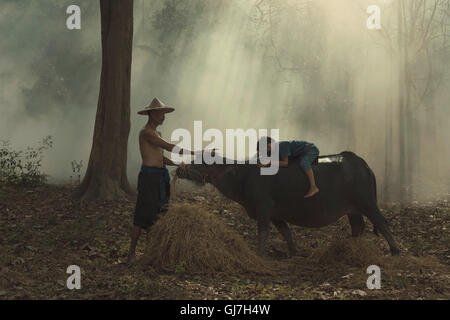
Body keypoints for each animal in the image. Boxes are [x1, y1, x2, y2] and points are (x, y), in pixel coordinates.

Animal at [176, 151, 400, 256]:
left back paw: (395, 251)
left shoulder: (264, 208)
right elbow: (285, 232)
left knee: (382, 223)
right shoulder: (277, 214)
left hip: (368, 202)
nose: (179, 169)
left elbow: (263, 232)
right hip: (352, 209)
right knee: (358, 226)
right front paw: (293, 251)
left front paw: (259, 253)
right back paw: (348, 247)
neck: (243, 175)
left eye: (204, 162)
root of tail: (361, 163)